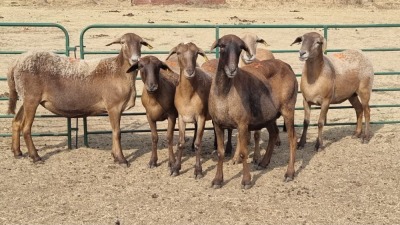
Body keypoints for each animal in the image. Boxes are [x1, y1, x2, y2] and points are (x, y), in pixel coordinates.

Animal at [6, 32, 153, 165]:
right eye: (123, 43)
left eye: (140, 43)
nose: (135, 60)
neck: (119, 71)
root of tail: (17, 61)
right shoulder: (113, 106)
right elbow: (117, 132)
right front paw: (121, 159)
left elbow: (114, 132)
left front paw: (115, 156)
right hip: (31, 98)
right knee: (26, 128)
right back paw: (35, 156)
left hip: (25, 97)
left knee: (16, 122)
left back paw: (17, 152)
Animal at [165, 41, 211, 178]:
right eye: (178, 53)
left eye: (196, 53)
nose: (190, 72)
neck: (188, 95)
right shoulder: (181, 117)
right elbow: (181, 143)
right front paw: (176, 168)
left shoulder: (201, 117)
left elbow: (198, 144)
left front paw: (198, 170)